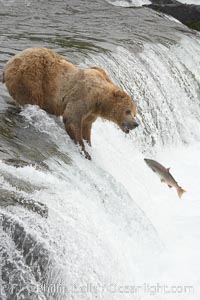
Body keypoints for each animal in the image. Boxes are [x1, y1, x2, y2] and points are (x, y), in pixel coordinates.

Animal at [1, 47, 139, 159]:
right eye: (127, 111)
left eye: (134, 113)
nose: (135, 124)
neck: (100, 101)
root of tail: (7, 64)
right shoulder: (84, 96)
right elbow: (72, 119)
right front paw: (85, 152)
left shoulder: (91, 112)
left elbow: (86, 127)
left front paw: (89, 144)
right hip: (30, 79)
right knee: (30, 98)